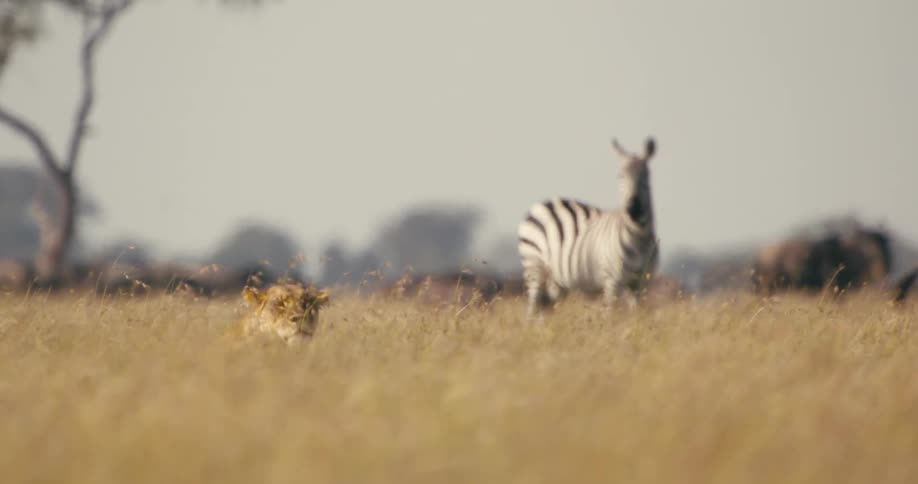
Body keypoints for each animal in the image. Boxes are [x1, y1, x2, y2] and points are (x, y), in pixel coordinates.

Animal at [517, 137, 659, 316]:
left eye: (645, 176)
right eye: (620, 177)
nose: (632, 208)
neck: (638, 238)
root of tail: (539, 205)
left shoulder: (640, 283)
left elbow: (636, 314)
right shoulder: (611, 280)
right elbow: (610, 315)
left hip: (555, 280)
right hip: (534, 266)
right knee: (531, 311)